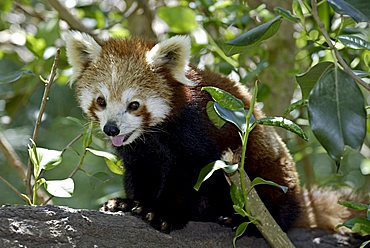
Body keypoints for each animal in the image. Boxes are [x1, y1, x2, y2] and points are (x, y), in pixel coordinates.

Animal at [62, 30, 364, 232]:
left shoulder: (198, 134)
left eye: (134, 105)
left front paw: (163, 213)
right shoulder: (139, 153)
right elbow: (140, 174)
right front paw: (129, 202)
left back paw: (242, 220)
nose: (111, 128)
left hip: (271, 172)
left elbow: (190, 176)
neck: (153, 136)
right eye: (101, 101)